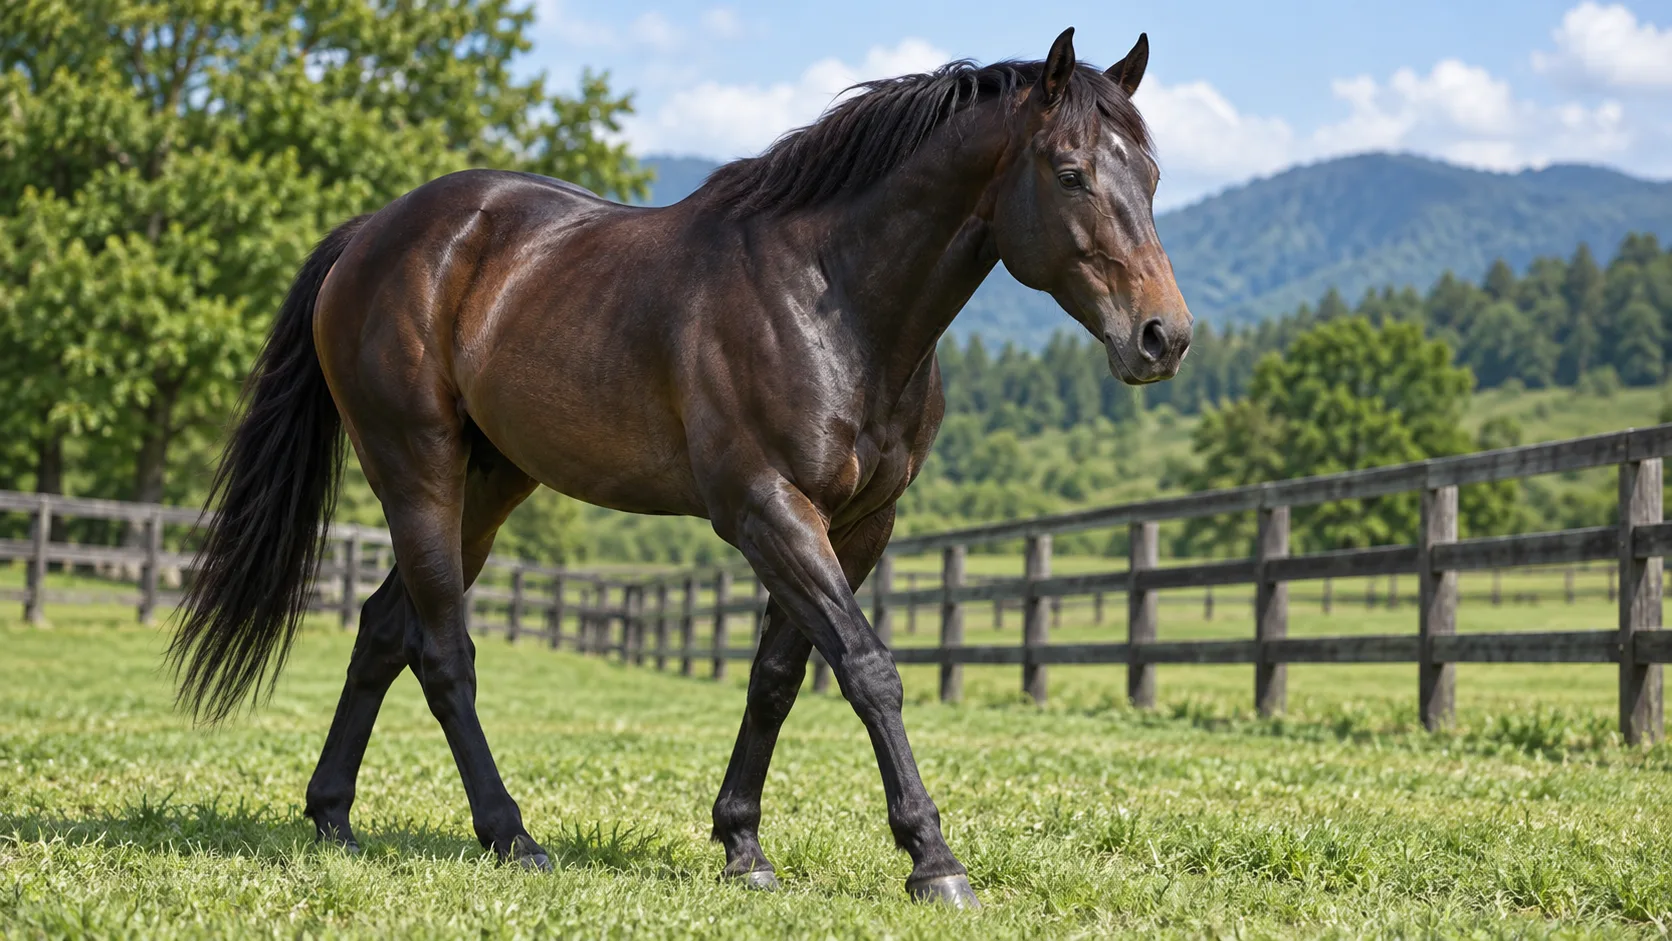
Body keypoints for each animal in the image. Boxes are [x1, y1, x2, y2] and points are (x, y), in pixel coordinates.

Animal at [169, 27, 1191, 908]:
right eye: (1070, 173)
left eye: (1149, 174)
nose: (1163, 337)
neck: (831, 295)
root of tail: (375, 233)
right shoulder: (767, 509)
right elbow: (866, 666)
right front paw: (933, 859)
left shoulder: (860, 524)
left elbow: (780, 674)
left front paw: (743, 844)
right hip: (416, 468)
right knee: (443, 651)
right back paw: (511, 835)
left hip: (490, 485)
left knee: (385, 630)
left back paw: (332, 819)